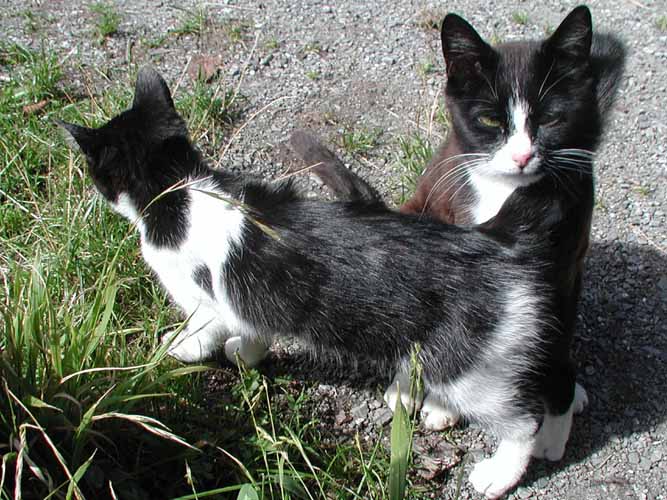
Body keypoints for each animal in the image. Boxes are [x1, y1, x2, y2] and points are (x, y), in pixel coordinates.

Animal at [62, 68, 580, 498]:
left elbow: (199, 332)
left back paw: (502, 470)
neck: (180, 192)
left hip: (469, 366)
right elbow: (254, 328)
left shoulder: (203, 300)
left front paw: (177, 349)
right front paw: (246, 354)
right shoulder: (250, 297)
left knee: (522, 420)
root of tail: (496, 236)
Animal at [290, 5, 624, 432]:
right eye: (490, 121)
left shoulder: (564, 259)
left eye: (550, 119)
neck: (508, 196)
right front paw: (440, 401)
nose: (521, 156)